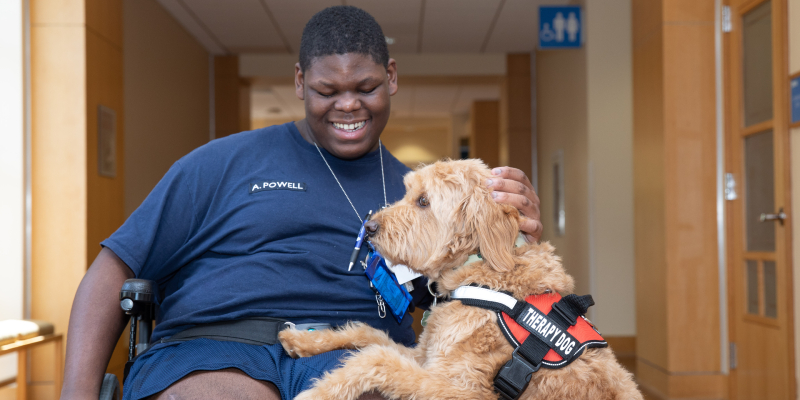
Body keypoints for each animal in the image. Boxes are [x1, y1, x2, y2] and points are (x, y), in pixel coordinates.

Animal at [282, 158, 644, 398]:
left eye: (423, 201)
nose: (368, 228)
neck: (481, 270)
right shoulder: (424, 356)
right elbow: (368, 333)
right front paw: (306, 340)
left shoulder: (460, 389)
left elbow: (376, 358)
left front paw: (317, 393)